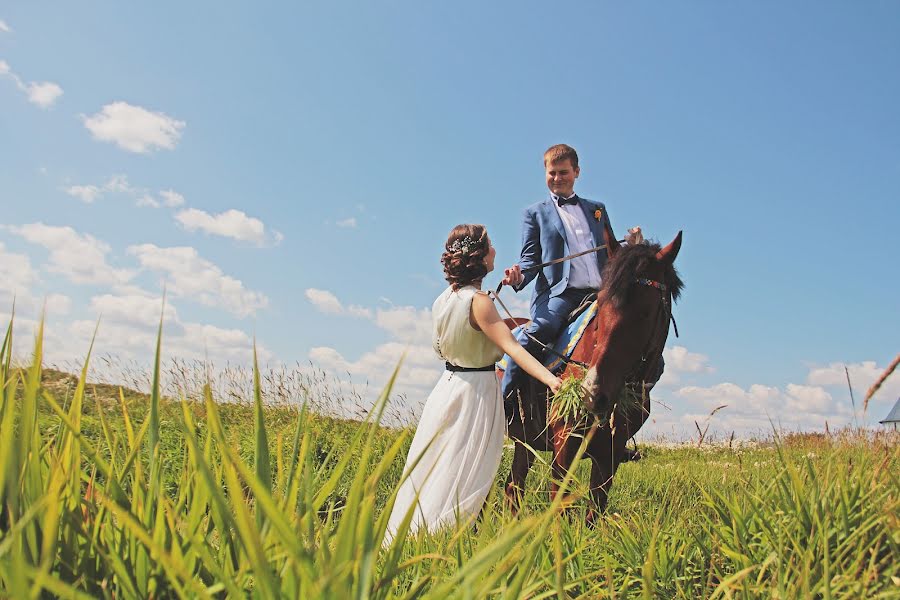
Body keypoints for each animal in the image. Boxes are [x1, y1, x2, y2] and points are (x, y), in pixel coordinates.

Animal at [500, 224, 684, 520]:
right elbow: (559, 507)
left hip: (525, 443)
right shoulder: (564, 444)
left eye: (646, 312)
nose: (591, 394)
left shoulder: (610, 453)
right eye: (600, 302)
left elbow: (594, 512)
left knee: (513, 487)